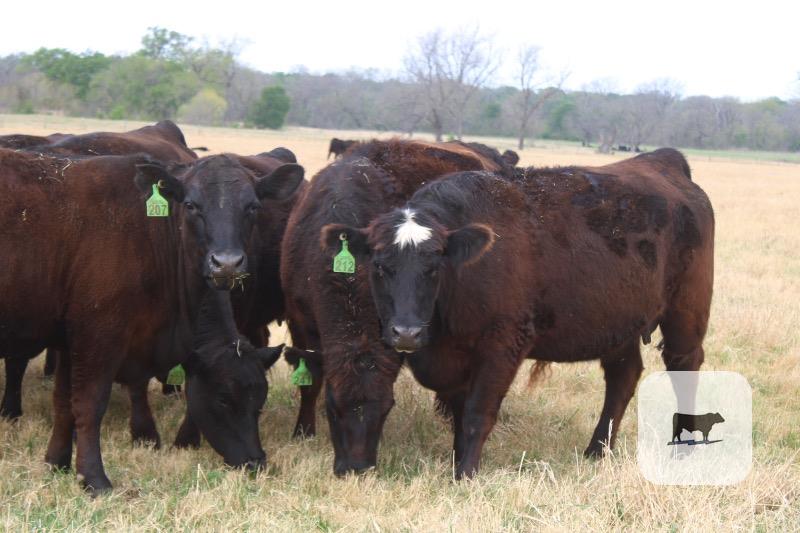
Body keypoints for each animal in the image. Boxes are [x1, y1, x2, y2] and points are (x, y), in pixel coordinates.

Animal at [0, 148, 304, 493]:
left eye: (252, 206)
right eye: (191, 205)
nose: (256, 461)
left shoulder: (67, 341)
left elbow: (64, 403)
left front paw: (58, 464)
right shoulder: (99, 337)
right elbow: (90, 404)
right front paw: (94, 478)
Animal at [281, 138, 513, 476]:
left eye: (385, 409)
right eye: (333, 407)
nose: (357, 468)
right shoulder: (300, 322)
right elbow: (310, 382)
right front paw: (303, 430)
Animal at [322, 148, 714, 478]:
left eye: (433, 268)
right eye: (379, 267)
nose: (406, 332)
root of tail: (661, 161)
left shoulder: (503, 344)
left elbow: (477, 414)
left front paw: (465, 474)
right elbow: (459, 413)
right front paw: (456, 462)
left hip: (686, 311)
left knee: (684, 365)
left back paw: (684, 450)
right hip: (619, 321)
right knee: (623, 377)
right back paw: (597, 450)